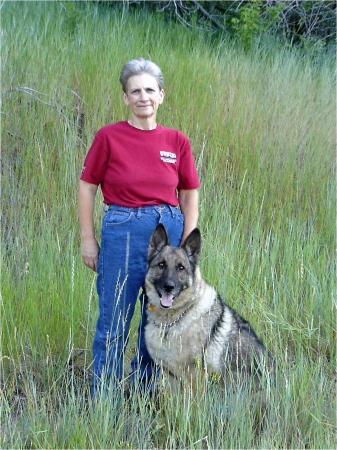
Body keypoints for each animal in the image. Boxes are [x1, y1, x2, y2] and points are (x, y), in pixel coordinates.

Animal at [143, 224, 274, 390]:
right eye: (161, 265)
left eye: (181, 268)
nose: (169, 287)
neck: (173, 320)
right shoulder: (172, 375)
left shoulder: (194, 377)